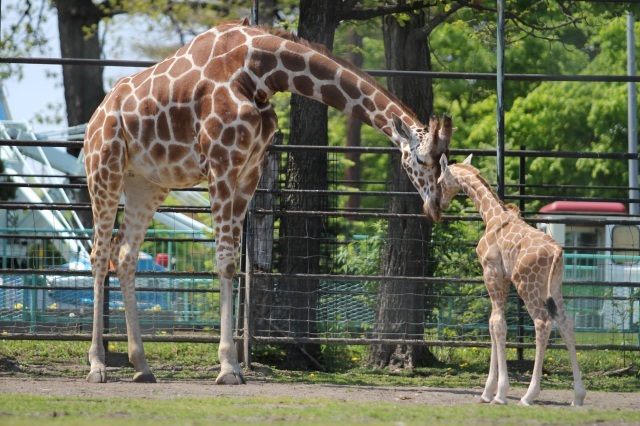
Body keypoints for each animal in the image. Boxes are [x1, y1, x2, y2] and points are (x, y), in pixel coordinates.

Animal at [85, 19, 452, 386]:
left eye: (445, 162)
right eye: (422, 159)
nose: (435, 206)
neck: (260, 71)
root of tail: (95, 116)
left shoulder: (251, 169)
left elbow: (234, 262)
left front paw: (232, 365)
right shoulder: (221, 164)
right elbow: (224, 261)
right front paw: (229, 367)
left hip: (146, 183)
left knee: (125, 254)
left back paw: (142, 365)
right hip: (104, 169)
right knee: (100, 254)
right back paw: (98, 365)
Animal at [438, 155, 584, 408]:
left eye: (439, 180)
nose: (438, 203)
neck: (490, 215)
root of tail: (556, 252)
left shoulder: (492, 273)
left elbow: (497, 324)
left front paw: (499, 393)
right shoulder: (503, 279)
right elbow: (493, 323)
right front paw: (488, 392)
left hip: (527, 284)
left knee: (542, 323)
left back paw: (528, 396)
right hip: (554, 287)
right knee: (566, 324)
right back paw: (578, 396)